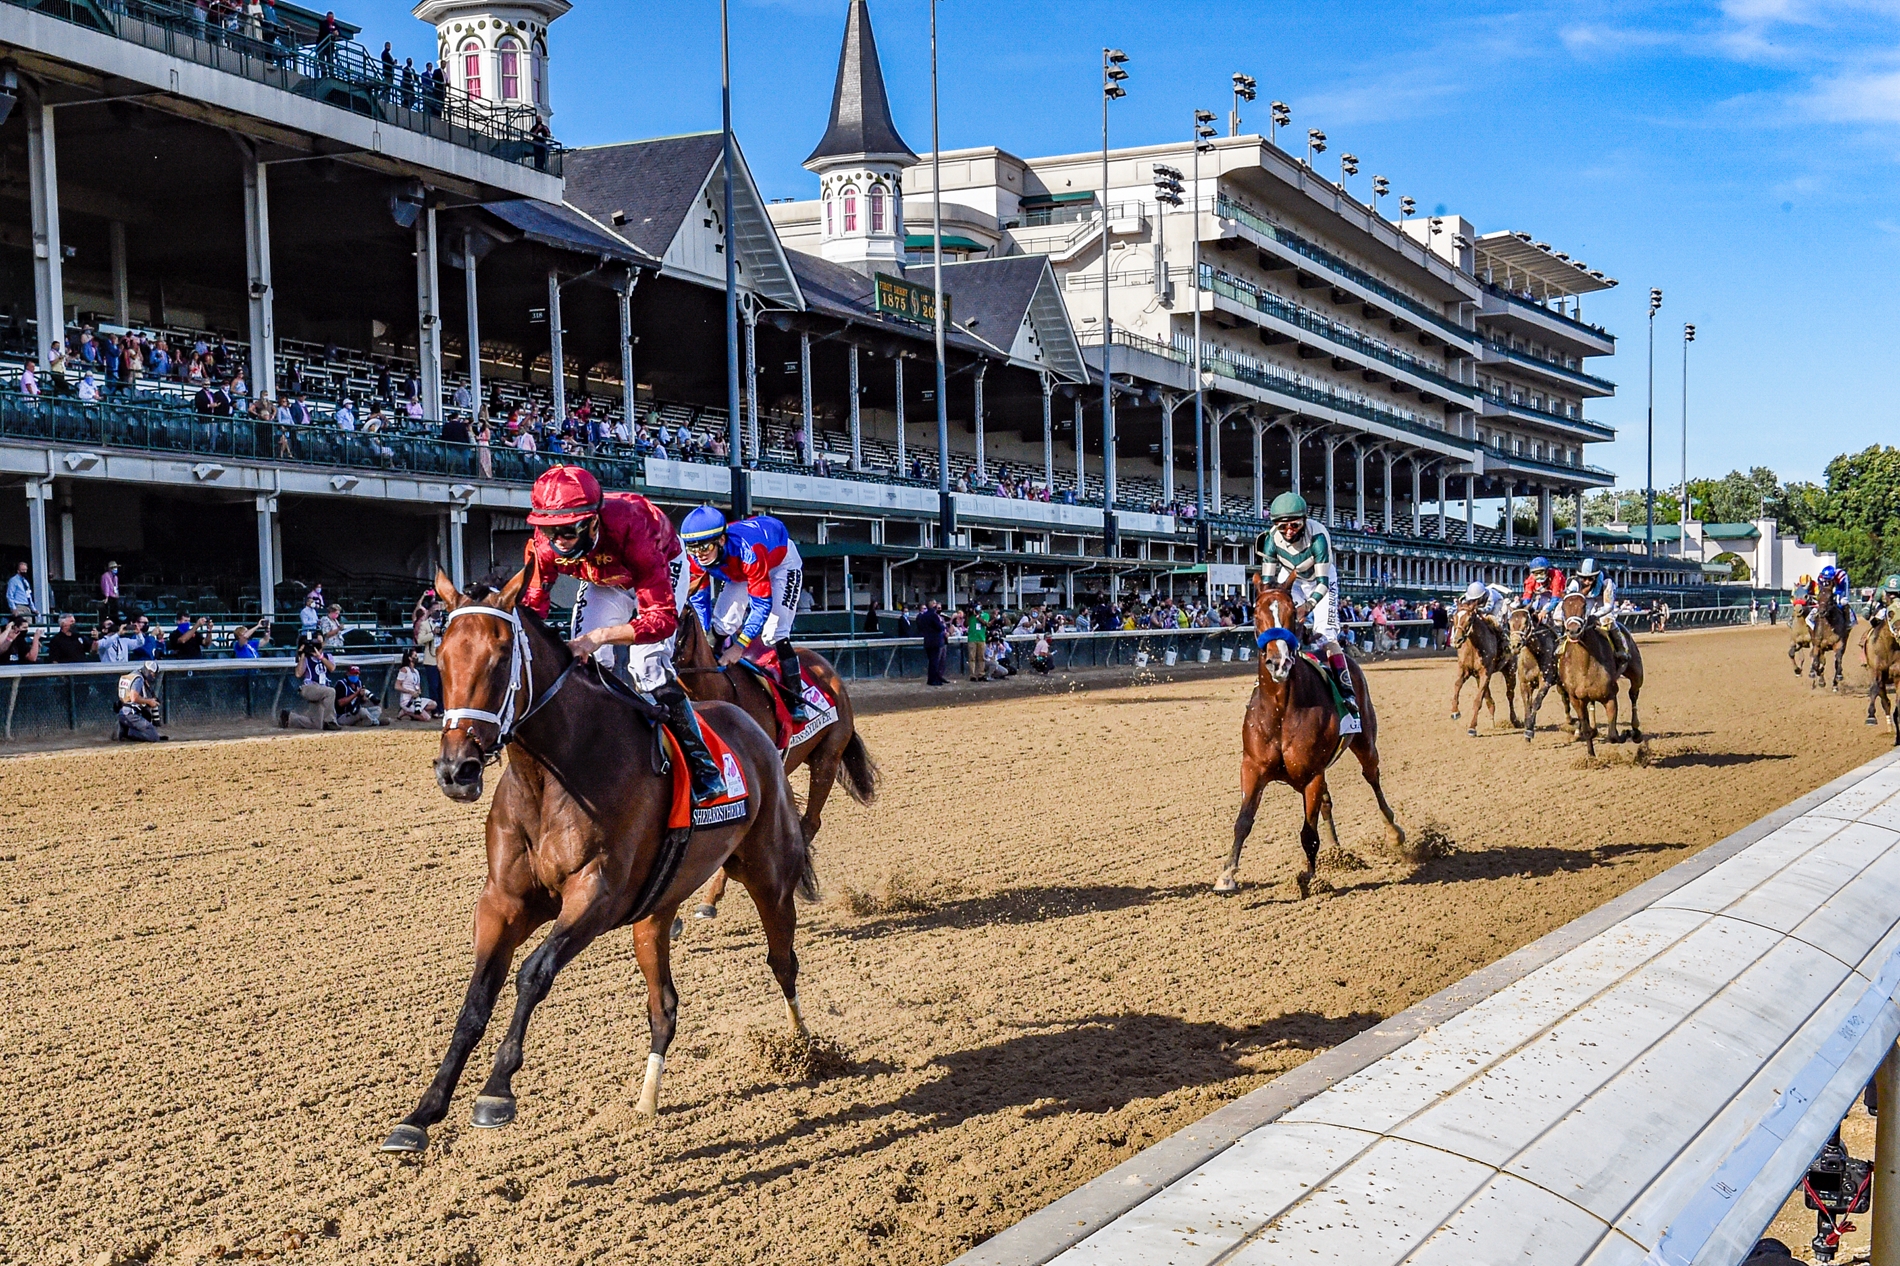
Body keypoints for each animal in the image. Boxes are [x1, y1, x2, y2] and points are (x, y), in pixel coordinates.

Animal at [380, 570, 817, 1155]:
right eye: (444, 657)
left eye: (500, 658)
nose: (457, 770)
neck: (554, 772)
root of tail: (751, 725)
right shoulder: (503, 901)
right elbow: (476, 999)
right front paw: (422, 1112)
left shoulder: (596, 896)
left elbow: (533, 974)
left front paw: (497, 1090)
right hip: (655, 910)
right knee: (664, 1006)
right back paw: (647, 1101)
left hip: (767, 871)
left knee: (782, 960)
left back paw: (805, 1048)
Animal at [1216, 577, 1413, 893]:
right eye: (1256, 614)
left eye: (1292, 615)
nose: (1279, 662)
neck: (1281, 711)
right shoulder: (1252, 767)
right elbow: (1243, 821)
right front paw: (1227, 875)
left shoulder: (1312, 774)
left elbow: (1308, 833)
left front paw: (1309, 879)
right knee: (1328, 802)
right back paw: (1337, 850)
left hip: (1365, 743)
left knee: (1372, 778)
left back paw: (1393, 832)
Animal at [1444, 600, 1520, 733]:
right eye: (1454, 618)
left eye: (1469, 618)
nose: (1457, 640)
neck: (1474, 647)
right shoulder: (1466, 671)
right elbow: (1457, 685)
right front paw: (1455, 712)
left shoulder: (1486, 673)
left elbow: (1478, 700)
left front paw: (1472, 727)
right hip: (1479, 677)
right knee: (1489, 698)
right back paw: (1493, 721)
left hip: (1510, 671)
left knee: (1510, 695)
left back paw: (1515, 720)